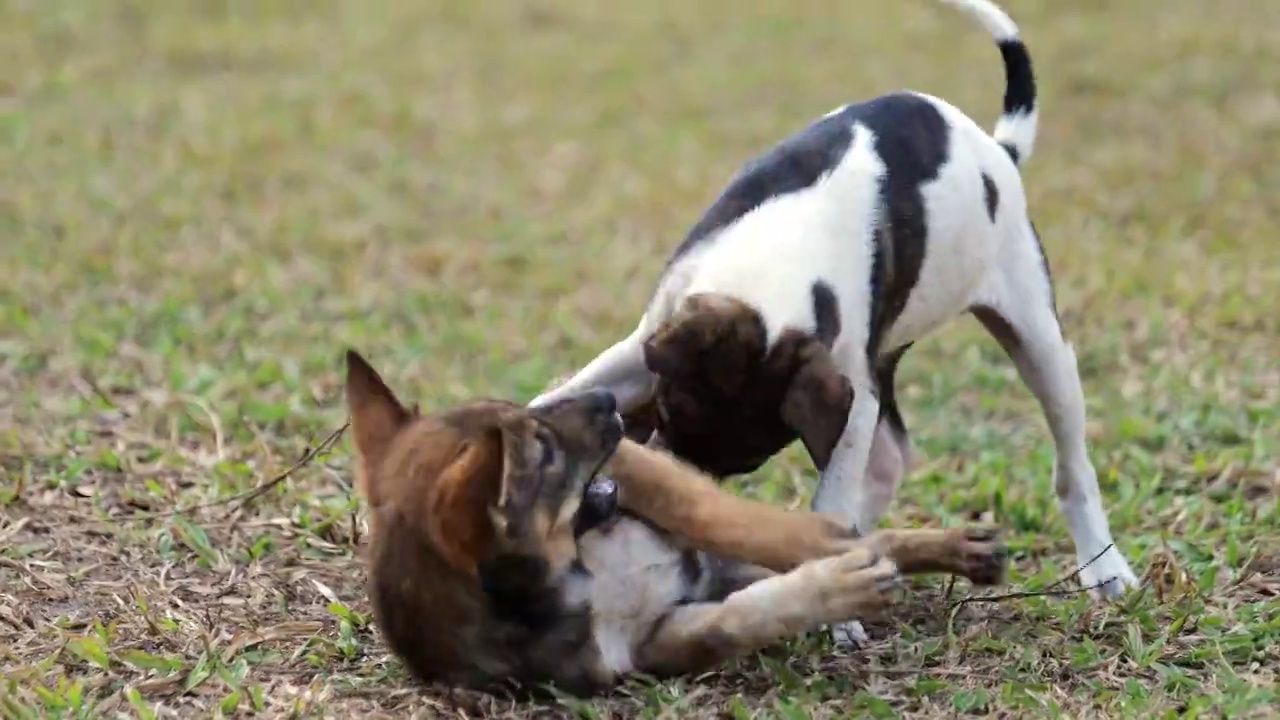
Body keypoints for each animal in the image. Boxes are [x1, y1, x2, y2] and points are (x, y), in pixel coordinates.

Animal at [345, 348, 1003, 696]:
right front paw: (837, 586)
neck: (572, 581)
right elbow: (741, 619)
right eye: (545, 451)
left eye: (525, 422)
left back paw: (944, 547)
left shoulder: (643, 473)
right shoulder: (660, 641)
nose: (607, 401)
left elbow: (733, 523)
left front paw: (837, 564)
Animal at [529, 0, 1141, 632]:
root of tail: (998, 151)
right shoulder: (644, 342)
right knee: (888, 465)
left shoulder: (852, 390)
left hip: (1037, 338)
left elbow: (833, 492)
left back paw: (1104, 566)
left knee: (1070, 465)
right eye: (670, 413)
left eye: (747, 463)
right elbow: (564, 392)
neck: (775, 271)